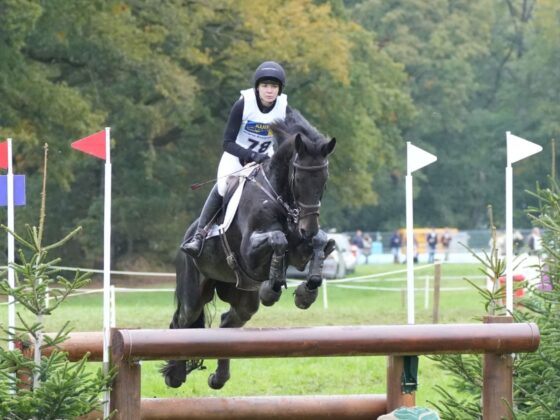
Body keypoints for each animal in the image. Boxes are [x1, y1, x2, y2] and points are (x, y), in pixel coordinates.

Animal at [163, 110, 336, 388]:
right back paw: (175, 375)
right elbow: (278, 239)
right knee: (182, 321)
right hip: (194, 293)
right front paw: (272, 288)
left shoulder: (301, 251)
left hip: (242, 295)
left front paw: (306, 292)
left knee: (228, 323)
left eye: (324, 180)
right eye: (298, 178)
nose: (307, 228)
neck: (279, 196)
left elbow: (322, 242)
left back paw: (218, 378)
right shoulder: (249, 254)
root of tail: (186, 237)